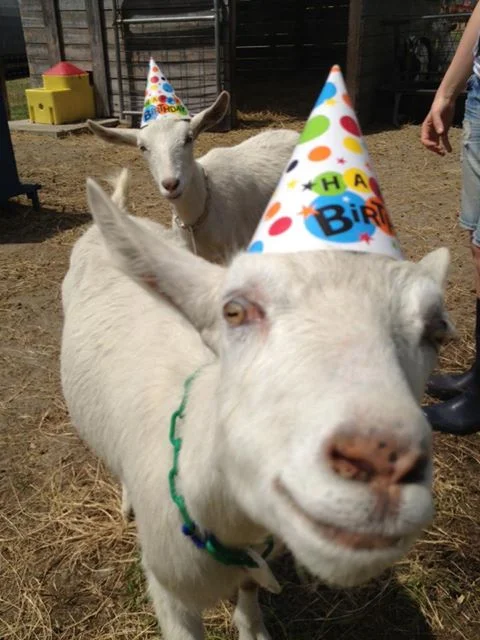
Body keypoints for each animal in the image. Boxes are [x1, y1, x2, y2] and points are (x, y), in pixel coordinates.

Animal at [61, 177, 454, 639]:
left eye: (437, 331)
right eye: (233, 311)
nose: (384, 461)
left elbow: (249, 589)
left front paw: (251, 626)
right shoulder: (169, 591)